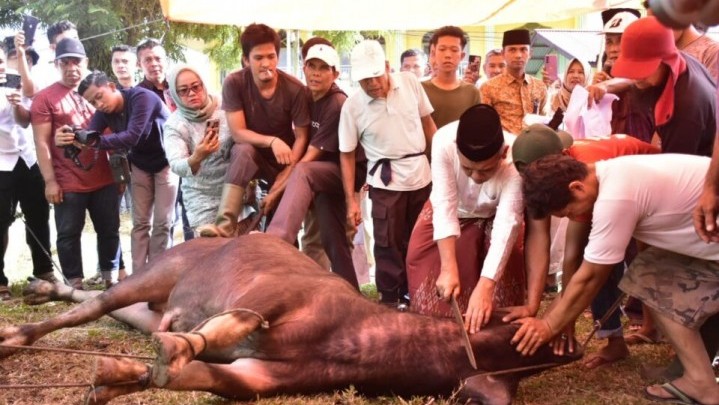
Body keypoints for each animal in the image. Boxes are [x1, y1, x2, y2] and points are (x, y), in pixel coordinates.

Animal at [0, 235, 584, 402]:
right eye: (528, 335)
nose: (574, 345)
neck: (354, 342)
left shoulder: (258, 379)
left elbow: (198, 373)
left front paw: (118, 376)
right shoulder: (278, 293)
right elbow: (235, 320)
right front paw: (182, 346)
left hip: (147, 307)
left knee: (108, 307)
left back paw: (42, 289)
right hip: (158, 272)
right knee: (92, 306)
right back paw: (16, 332)